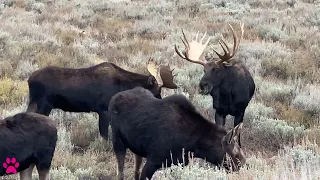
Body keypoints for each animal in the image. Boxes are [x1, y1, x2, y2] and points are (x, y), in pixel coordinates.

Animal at [25, 58, 178, 140]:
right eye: (157, 90)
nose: (161, 103)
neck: (123, 86)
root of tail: (30, 79)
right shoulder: (103, 110)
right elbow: (104, 135)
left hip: (35, 102)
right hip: (44, 104)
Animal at [107, 86, 245, 179]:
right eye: (236, 154)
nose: (245, 166)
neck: (194, 145)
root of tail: (113, 98)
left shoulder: (179, 163)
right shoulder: (153, 161)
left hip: (137, 148)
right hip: (117, 141)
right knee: (121, 171)